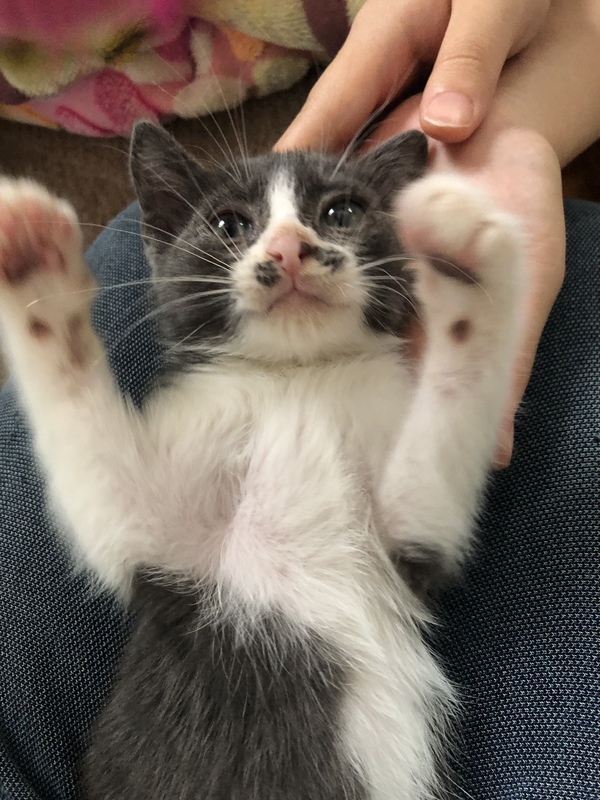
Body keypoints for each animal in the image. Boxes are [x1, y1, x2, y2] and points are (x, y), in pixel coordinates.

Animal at [0, 122, 524, 800]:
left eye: (341, 213)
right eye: (229, 224)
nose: (290, 248)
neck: (294, 381)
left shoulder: (415, 530)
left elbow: (448, 426)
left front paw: (465, 262)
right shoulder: (159, 548)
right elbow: (90, 447)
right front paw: (35, 268)